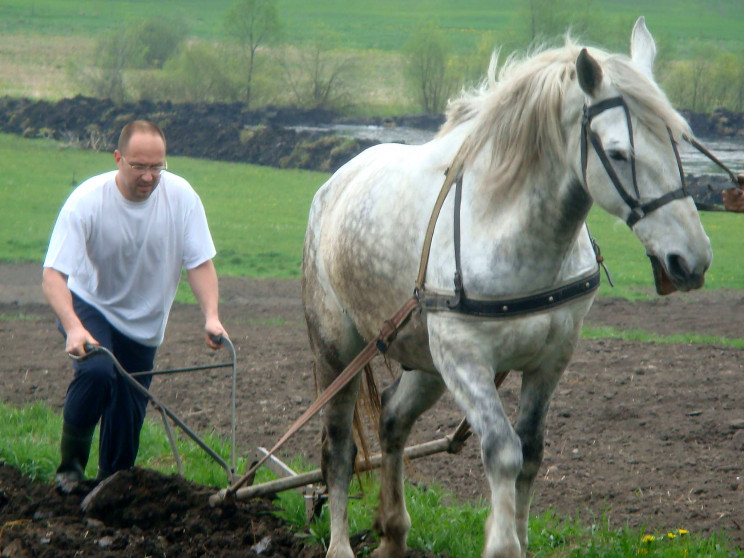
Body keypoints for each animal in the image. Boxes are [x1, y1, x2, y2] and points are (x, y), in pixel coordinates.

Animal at [300, 17, 708, 558]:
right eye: (620, 153)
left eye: (679, 139)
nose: (693, 259)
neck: (512, 230)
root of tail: (335, 184)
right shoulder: (465, 357)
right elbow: (503, 452)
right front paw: (502, 541)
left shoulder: (552, 358)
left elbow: (530, 452)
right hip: (337, 352)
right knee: (339, 449)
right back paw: (341, 544)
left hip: (424, 361)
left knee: (392, 419)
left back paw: (393, 532)